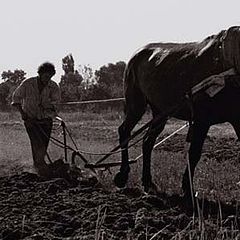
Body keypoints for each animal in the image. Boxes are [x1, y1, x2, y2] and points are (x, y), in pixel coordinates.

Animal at [113, 25, 240, 201]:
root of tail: (135, 55)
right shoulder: (201, 119)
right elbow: (194, 154)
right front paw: (187, 189)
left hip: (160, 112)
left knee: (147, 141)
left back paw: (147, 182)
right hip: (136, 104)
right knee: (125, 131)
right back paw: (122, 176)